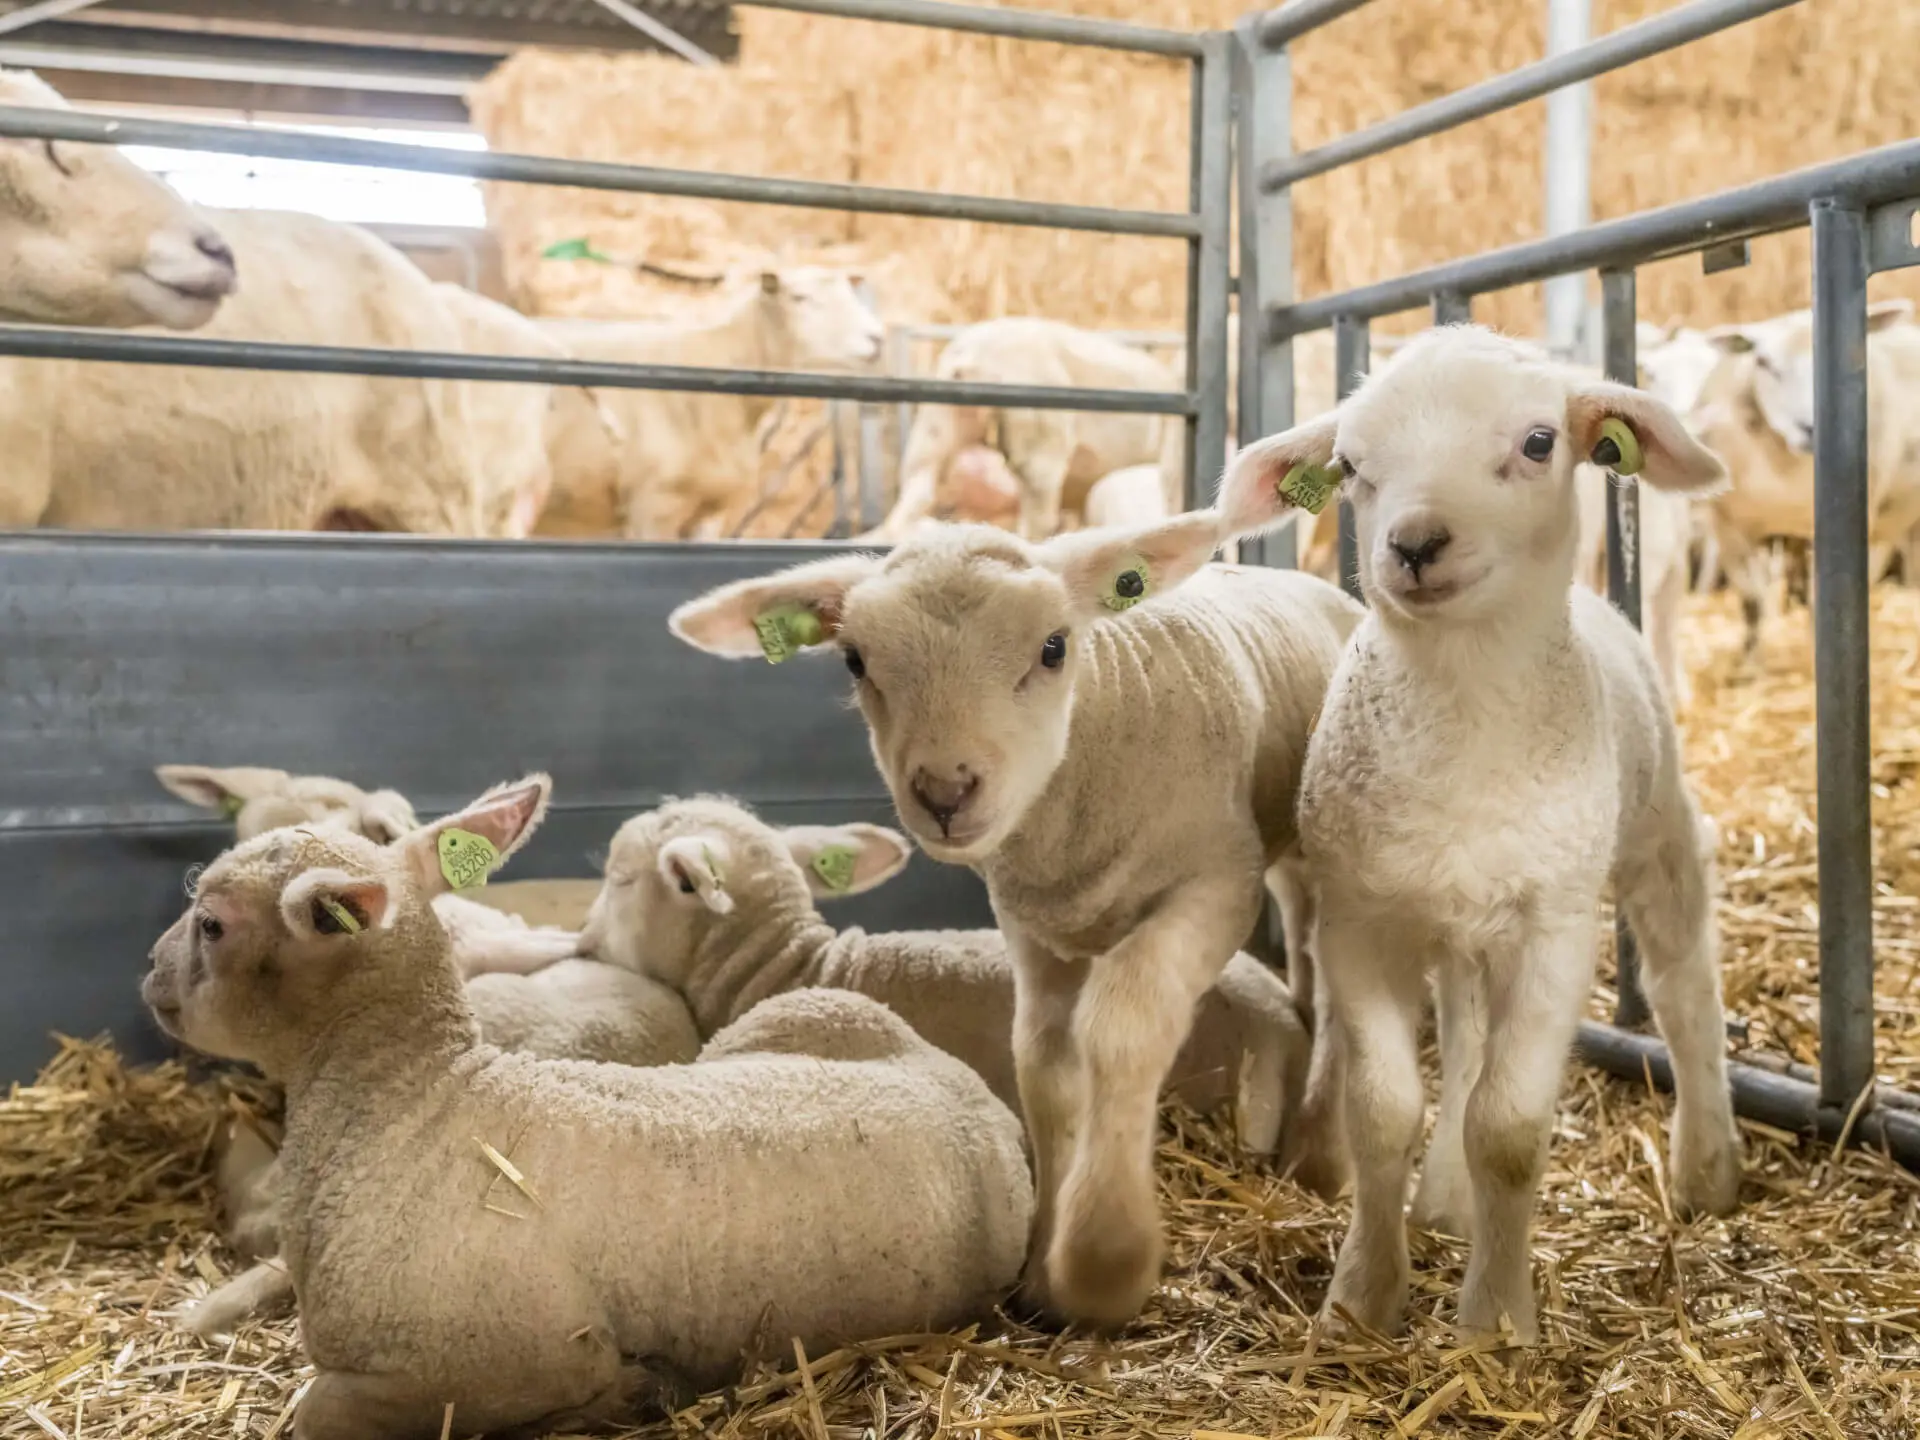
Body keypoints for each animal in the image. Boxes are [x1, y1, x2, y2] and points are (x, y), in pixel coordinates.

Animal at [142, 774, 1032, 1437]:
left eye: (212, 924)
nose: (149, 970)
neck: (416, 1097)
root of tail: (986, 1111)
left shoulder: (482, 1365)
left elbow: (315, 1410)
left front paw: (630, 1392)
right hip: (798, 1020)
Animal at [667, 512, 1363, 1327]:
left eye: (1054, 647)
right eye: (854, 659)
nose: (944, 791)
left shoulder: (1215, 885)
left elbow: (1123, 1026)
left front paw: (1103, 1260)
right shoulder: (1030, 924)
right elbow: (1043, 1065)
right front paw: (1042, 1278)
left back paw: (1320, 1154)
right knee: (1307, 949)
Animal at [1217, 324, 1742, 1344]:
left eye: (1539, 442)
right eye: (1350, 465)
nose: (1415, 543)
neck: (1462, 709)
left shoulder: (1554, 929)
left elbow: (1507, 1127)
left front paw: (1497, 1322)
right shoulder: (1361, 921)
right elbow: (1384, 1112)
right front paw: (1362, 1300)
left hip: (1654, 830)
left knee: (1682, 983)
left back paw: (1708, 1167)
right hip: (1455, 925)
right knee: (1462, 1044)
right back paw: (1446, 1205)